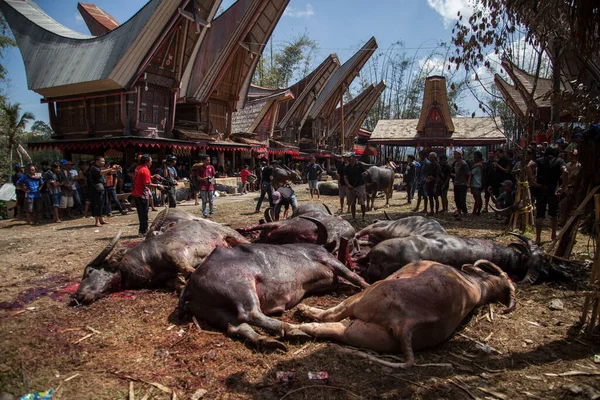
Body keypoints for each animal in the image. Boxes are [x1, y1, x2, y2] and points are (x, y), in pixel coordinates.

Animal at [74, 219, 248, 304]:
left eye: (89, 272)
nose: (76, 296)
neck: (146, 260)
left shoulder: (174, 252)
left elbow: (188, 269)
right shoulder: (168, 278)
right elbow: (177, 283)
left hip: (234, 236)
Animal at [176, 241, 368, 350]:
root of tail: (190, 286)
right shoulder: (323, 256)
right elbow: (351, 275)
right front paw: (367, 285)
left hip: (208, 308)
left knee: (235, 326)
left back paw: (271, 342)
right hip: (239, 284)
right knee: (249, 313)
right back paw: (294, 331)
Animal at [296, 260, 516, 368]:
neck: (479, 286)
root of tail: (406, 324)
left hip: (366, 297)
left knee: (331, 317)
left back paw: (302, 317)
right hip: (364, 334)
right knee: (336, 329)